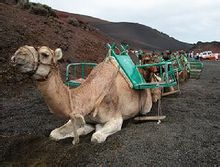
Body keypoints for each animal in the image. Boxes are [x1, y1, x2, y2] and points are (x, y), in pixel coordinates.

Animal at [11, 45, 154, 144]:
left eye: (45, 54)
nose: (18, 53)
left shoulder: (116, 118)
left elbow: (96, 137)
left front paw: (93, 129)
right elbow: (53, 134)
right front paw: (82, 130)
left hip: (146, 105)